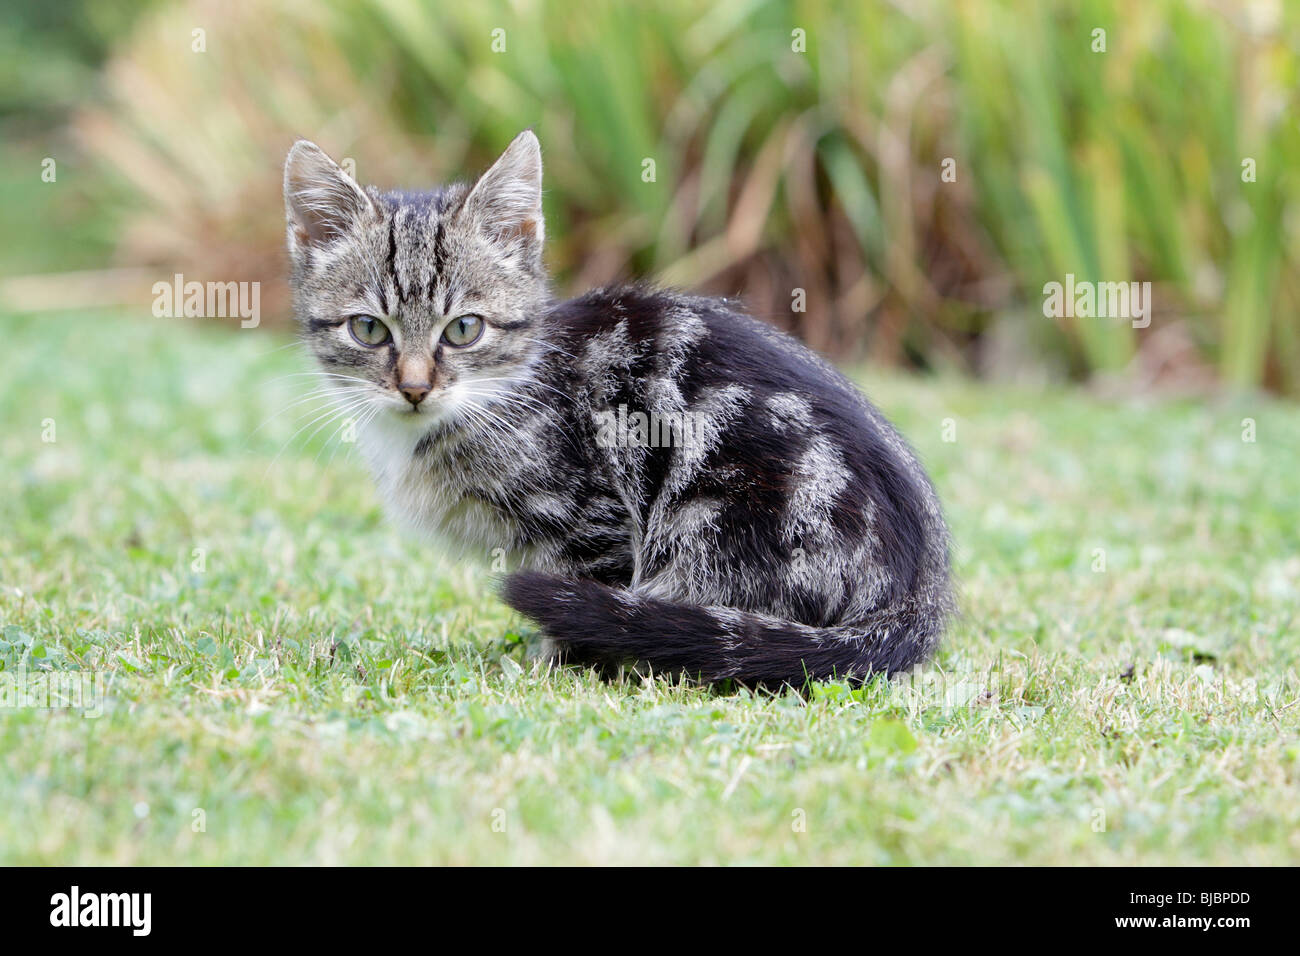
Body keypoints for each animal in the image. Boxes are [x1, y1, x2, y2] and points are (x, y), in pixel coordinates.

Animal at [287, 132, 956, 686]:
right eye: (369, 330)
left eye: (464, 329)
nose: (414, 387)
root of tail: (919, 597)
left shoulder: (591, 518)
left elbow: (587, 590)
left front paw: (562, 664)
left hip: (715, 521)